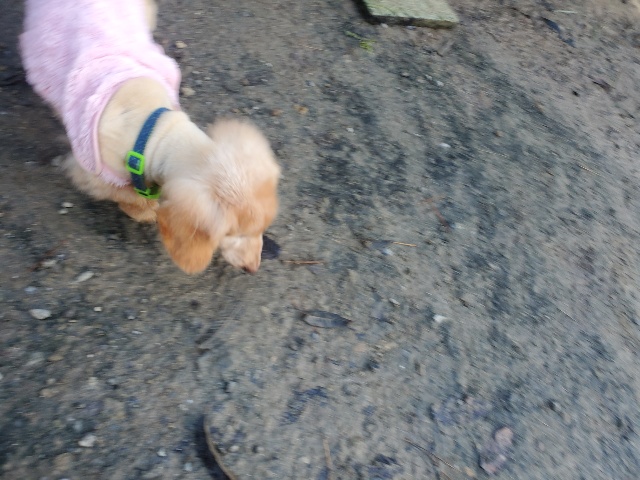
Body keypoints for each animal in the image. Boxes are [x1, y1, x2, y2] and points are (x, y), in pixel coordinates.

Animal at [20, 0, 280, 274]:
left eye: (261, 230)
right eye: (232, 234)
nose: (253, 267)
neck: (154, 133)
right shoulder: (90, 171)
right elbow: (126, 195)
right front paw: (143, 210)